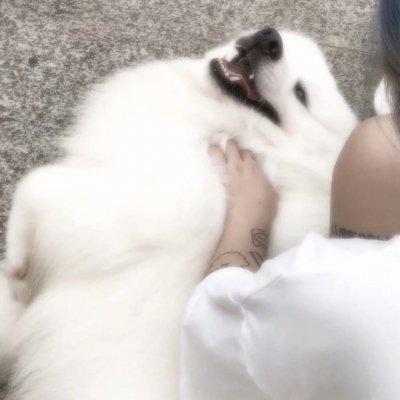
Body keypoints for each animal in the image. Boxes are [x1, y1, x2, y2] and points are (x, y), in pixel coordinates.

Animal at [0, 28, 357, 399]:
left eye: (301, 94)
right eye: (280, 40)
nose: (269, 38)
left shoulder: (143, 204)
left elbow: (35, 183)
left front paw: (17, 263)